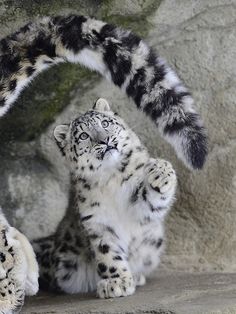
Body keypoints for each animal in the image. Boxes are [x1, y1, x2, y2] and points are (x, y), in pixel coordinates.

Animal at [32, 97, 177, 296]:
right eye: (83, 136)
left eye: (105, 123)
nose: (105, 140)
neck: (111, 177)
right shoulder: (98, 221)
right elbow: (108, 254)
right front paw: (117, 283)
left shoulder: (140, 206)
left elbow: (153, 201)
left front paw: (160, 170)